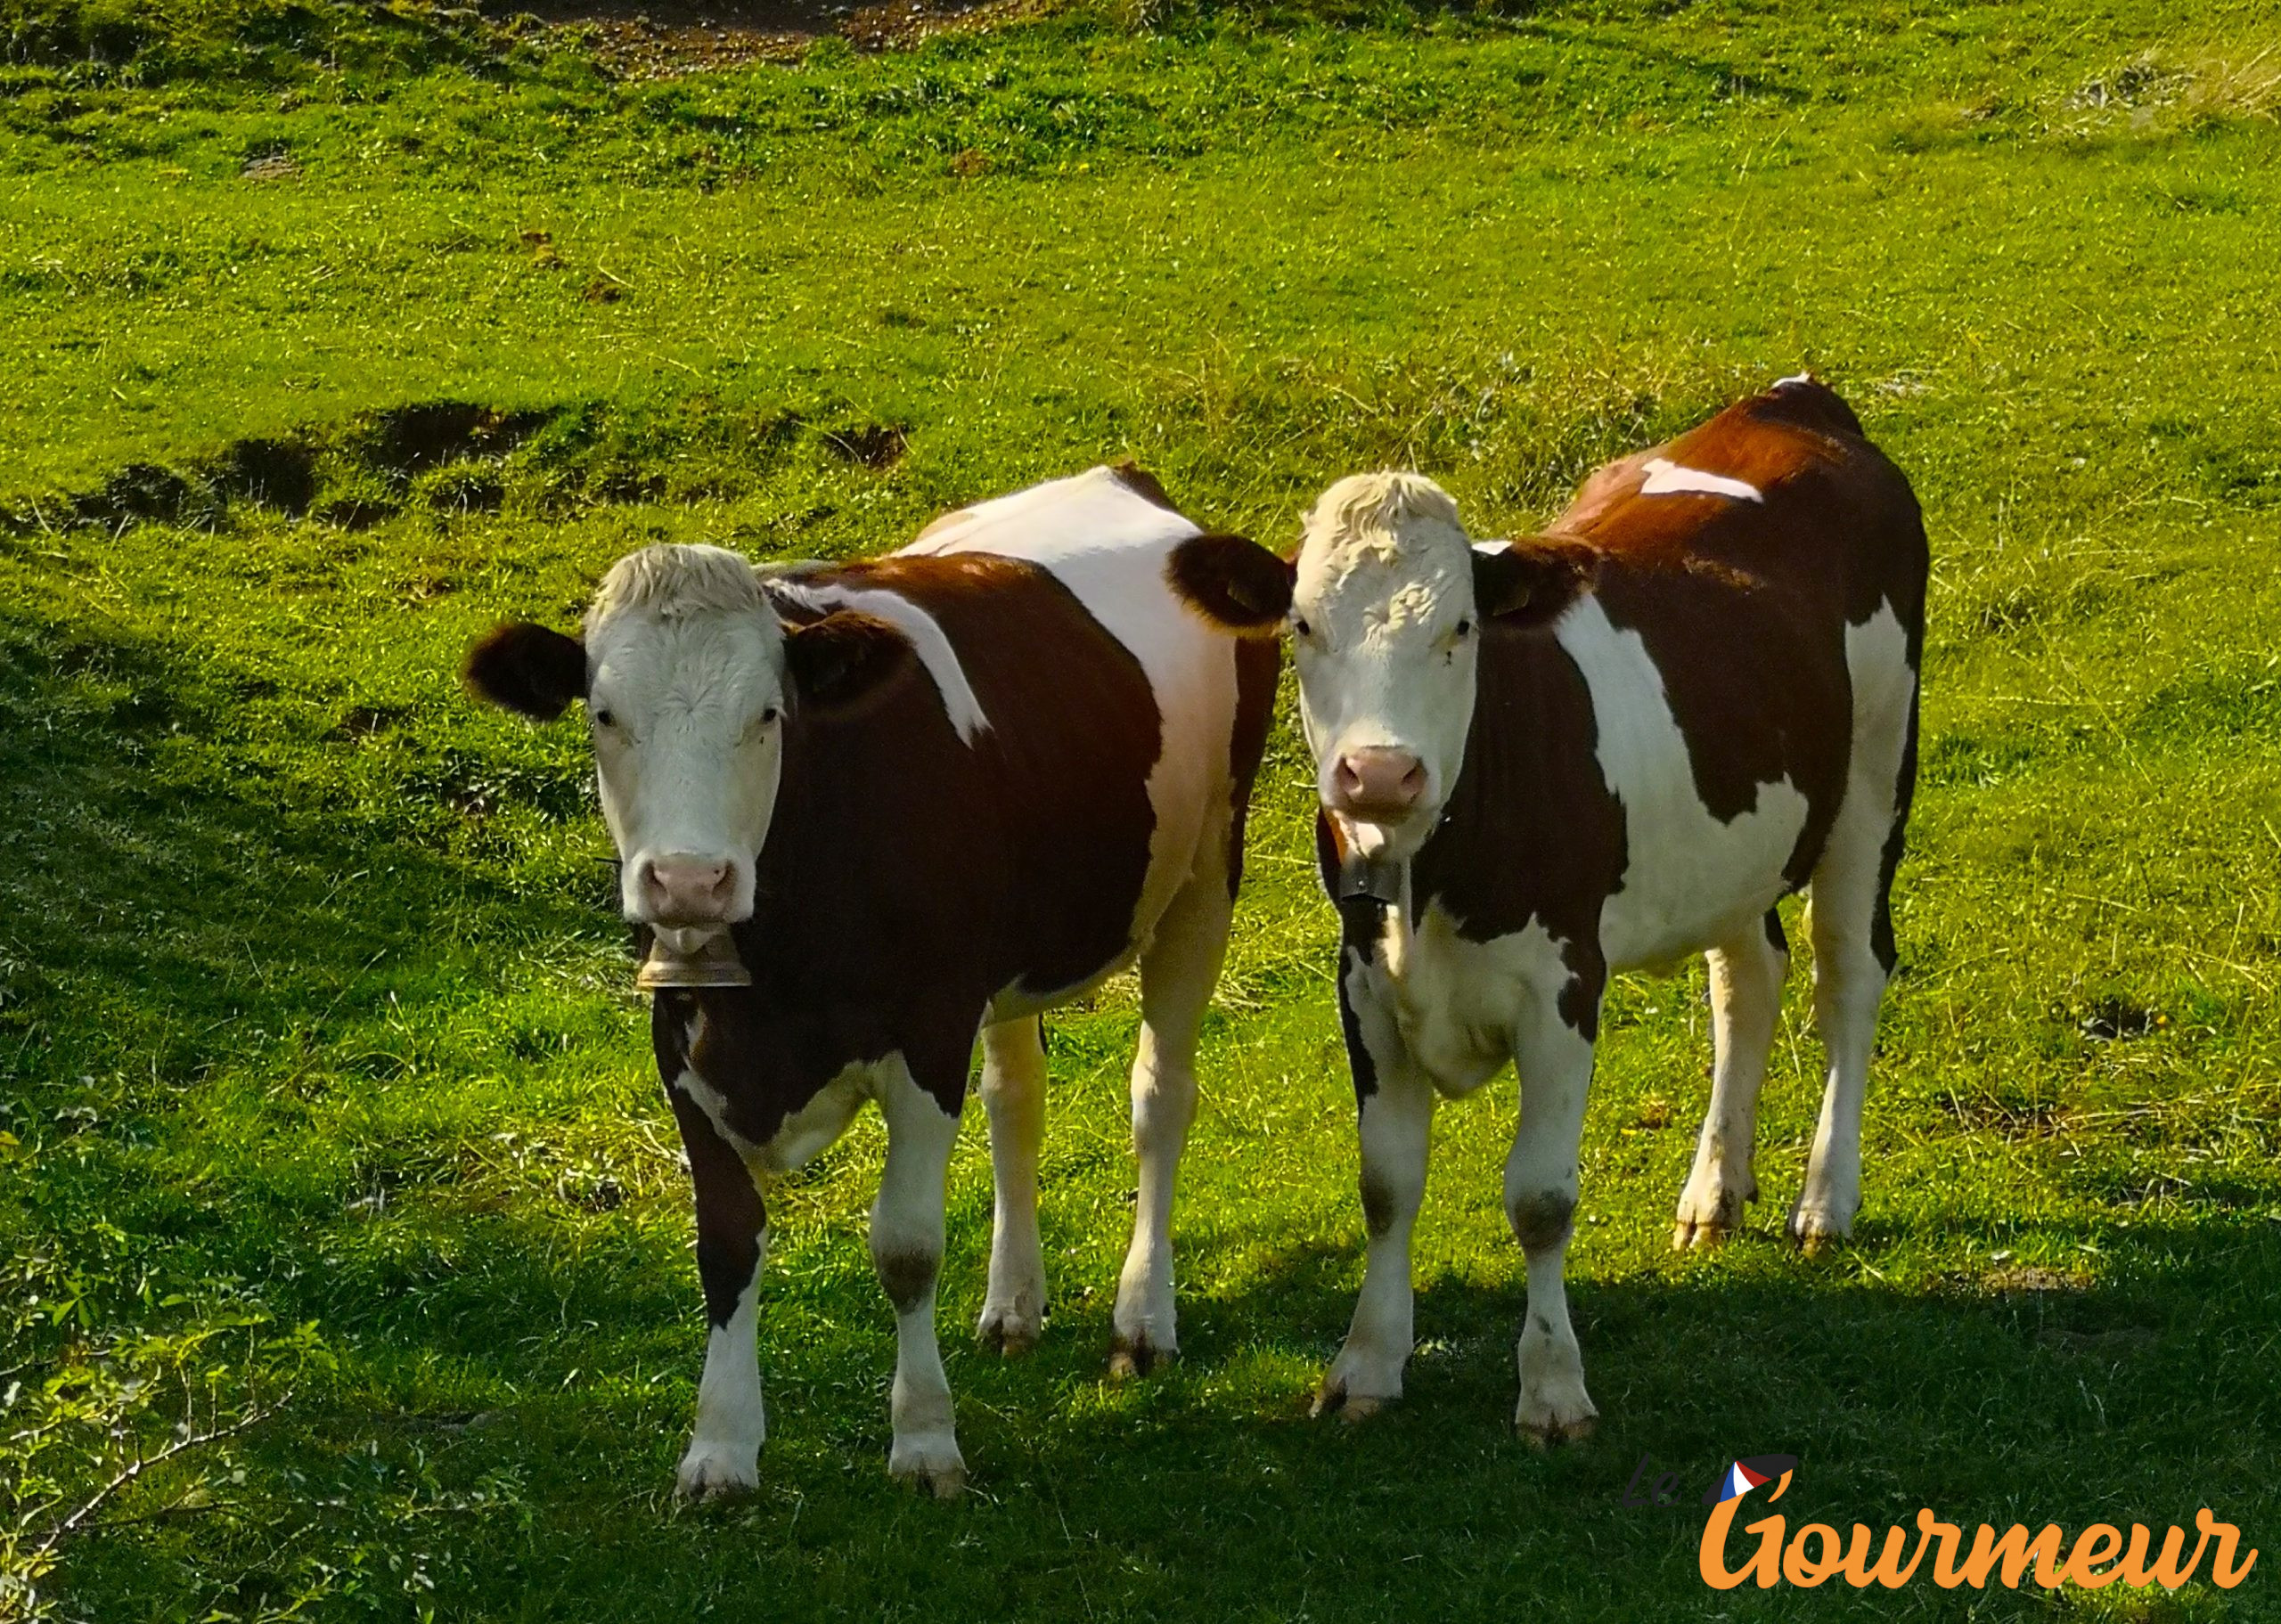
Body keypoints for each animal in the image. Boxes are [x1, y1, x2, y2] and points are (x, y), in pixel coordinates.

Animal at [462, 461, 1286, 1496]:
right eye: (605, 715)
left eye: (768, 713)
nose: (688, 879)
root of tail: (1121, 475)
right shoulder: (681, 1044)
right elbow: (724, 1245)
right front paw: (720, 1445)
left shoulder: (927, 1031)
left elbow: (906, 1247)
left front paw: (925, 1437)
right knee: (1017, 1098)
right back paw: (1014, 1302)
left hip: (1207, 869)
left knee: (1160, 1096)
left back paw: (1144, 1316)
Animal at [1167, 383, 1934, 1450]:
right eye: (1303, 625)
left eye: (1460, 628)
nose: (1379, 774)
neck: (1432, 872)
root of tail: (1792, 400)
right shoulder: (1361, 983)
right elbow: (1384, 1185)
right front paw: (1366, 1365)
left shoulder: (1563, 985)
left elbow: (1539, 1198)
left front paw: (1552, 1387)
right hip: (1735, 839)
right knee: (1748, 979)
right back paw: (1714, 1191)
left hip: (1873, 776)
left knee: (1849, 975)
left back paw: (1826, 1198)